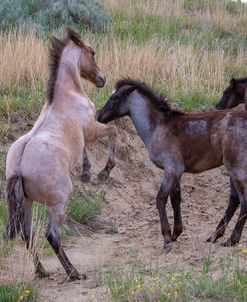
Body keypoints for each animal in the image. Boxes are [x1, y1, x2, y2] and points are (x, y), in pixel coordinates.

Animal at [4, 27, 116, 280]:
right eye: (92, 52)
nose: (102, 79)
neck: (67, 94)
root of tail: (19, 166)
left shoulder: (84, 135)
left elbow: (84, 150)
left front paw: (86, 172)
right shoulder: (92, 129)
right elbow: (113, 131)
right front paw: (104, 171)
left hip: (27, 203)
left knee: (27, 234)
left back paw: (41, 271)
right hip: (59, 202)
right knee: (52, 235)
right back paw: (74, 273)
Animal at [97, 79, 247, 252]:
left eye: (114, 98)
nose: (99, 117)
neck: (158, 127)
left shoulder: (172, 170)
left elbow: (160, 199)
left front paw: (167, 239)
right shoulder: (177, 173)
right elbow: (176, 199)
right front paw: (176, 233)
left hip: (237, 170)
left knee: (243, 200)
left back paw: (231, 239)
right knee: (235, 200)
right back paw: (215, 236)